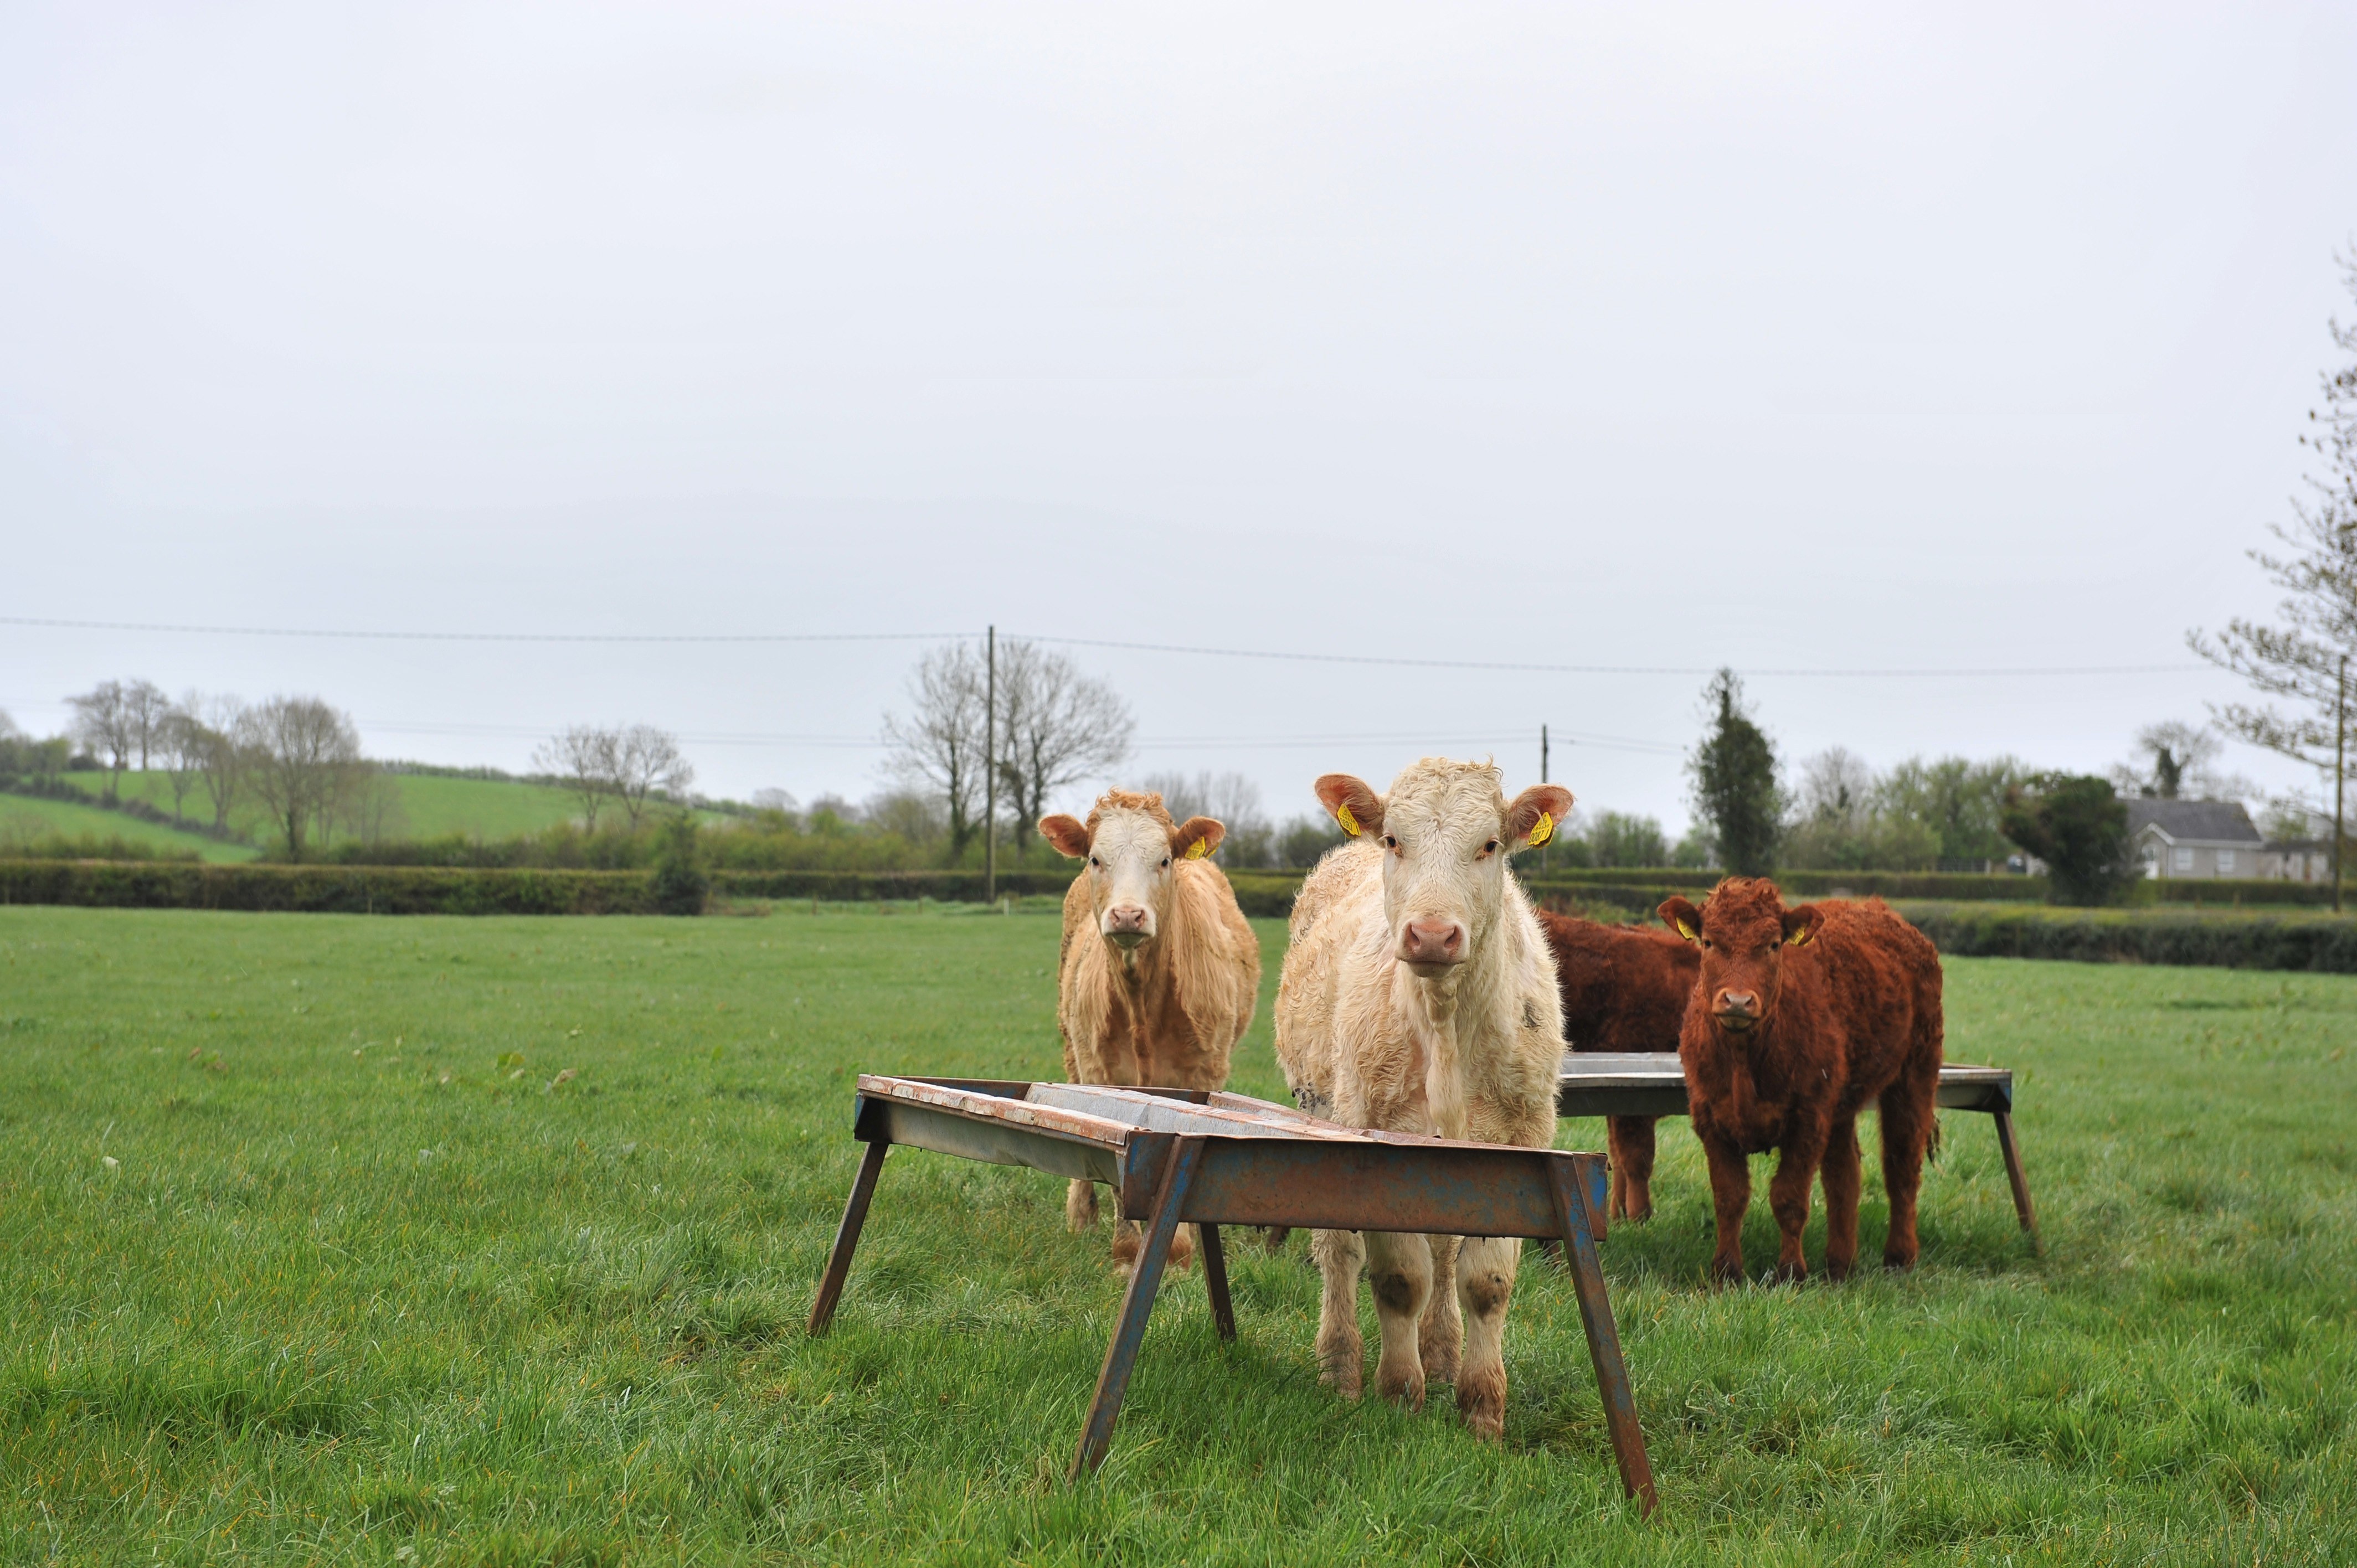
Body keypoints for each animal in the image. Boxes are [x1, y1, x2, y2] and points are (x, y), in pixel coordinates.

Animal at [1039, 790, 1262, 1272]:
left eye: (1164, 860)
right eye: (1096, 859)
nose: (1127, 915)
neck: (1142, 1003)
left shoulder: (1204, 1072)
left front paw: (1178, 1252)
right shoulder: (1100, 1071)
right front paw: (1126, 1252)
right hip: (1071, 1045)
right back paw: (1081, 1214)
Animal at [1273, 758, 1573, 1442]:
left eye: (1489, 845)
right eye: (1395, 841)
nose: (1432, 935)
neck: (1445, 1028)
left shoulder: (1519, 1141)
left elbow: (1485, 1281)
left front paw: (1482, 1410)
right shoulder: (1379, 1137)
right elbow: (1398, 1277)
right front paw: (1397, 1393)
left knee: (1442, 1247)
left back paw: (1440, 1355)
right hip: (1321, 1110)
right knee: (1339, 1250)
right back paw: (1341, 1368)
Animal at [1657, 878, 1944, 1284]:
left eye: (1774, 944)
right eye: (1709, 942)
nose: (1738, 1002)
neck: (1744, 1061)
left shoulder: (1808, 1119)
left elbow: (1789, 1199)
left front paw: (1791, 1272)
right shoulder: (1709, 1118)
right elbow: (1729, 1197)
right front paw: (1726, 1271)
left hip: (1915, 1074)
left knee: (1902, 1166)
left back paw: (1900, 1257)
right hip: (1841, 1105)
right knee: (1844, 1175)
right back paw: (1840, 1264)